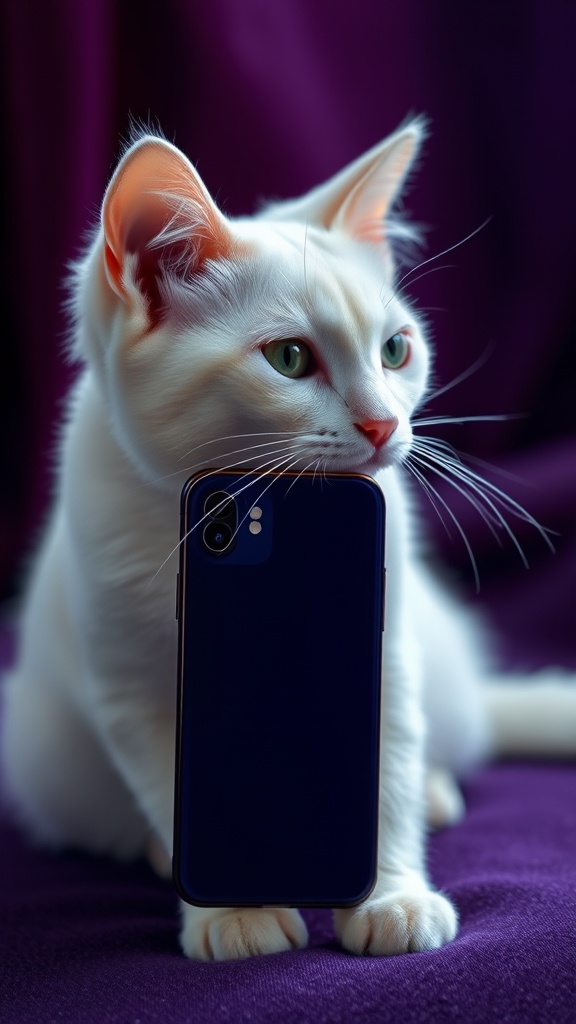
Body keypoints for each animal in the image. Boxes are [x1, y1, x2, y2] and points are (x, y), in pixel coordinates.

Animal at [2, 119, 569, 958]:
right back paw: (153, 850)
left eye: (395, 350)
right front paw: (232, 910)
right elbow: (175, 784)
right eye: (290, 358)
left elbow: (387, 770)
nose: (385, 425)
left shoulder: (384, 652)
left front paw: (390, 894)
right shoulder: (130, 690)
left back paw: (436, 792)